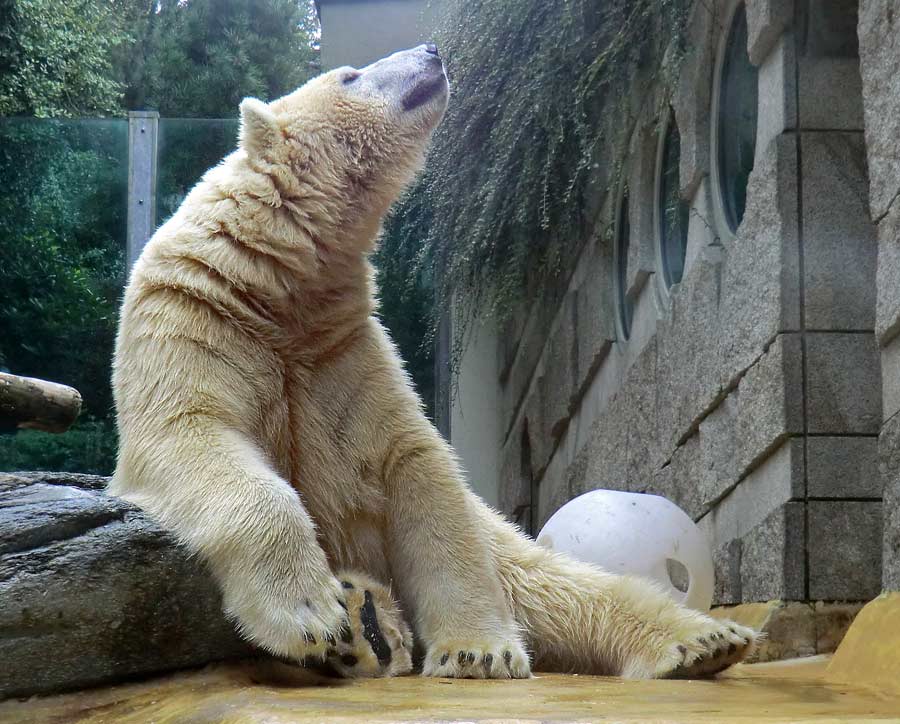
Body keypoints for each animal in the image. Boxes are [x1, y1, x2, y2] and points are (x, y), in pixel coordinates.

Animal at [112, 45, 760, 680]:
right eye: (351, 76)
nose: (432, 51)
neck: (277, 281)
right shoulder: (195, 316)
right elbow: (190, 431)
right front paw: (311, 615)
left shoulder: (344, 352)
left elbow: (418, 468)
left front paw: (479, 651)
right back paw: (364, 620)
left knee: (555, 584)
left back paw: (704, 641)